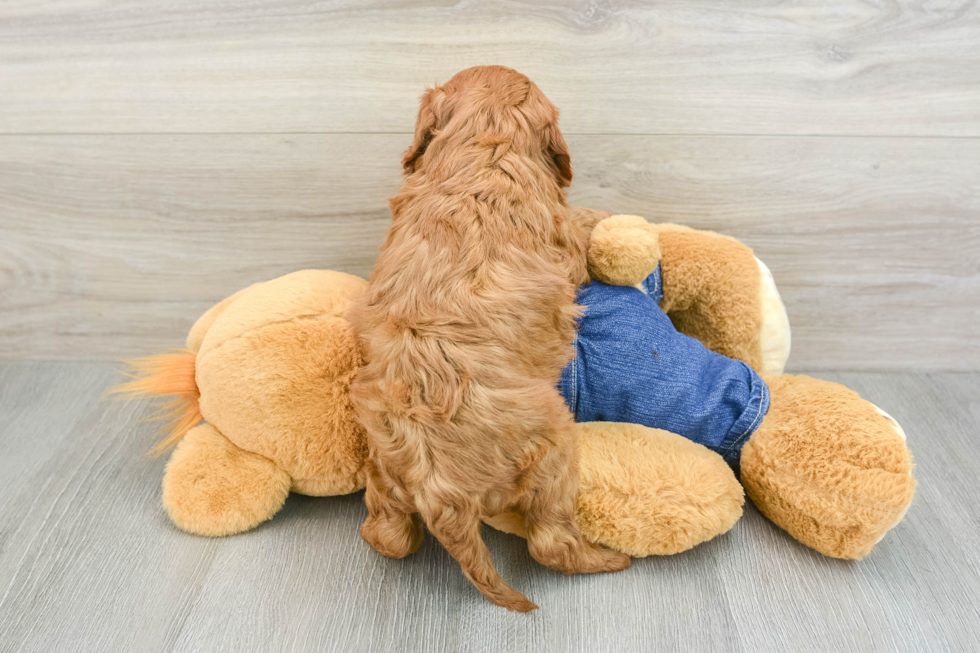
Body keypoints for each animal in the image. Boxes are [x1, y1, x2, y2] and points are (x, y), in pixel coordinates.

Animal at [348, 66, 632, 612]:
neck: (487, 145)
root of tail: (440, 493)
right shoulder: (564, 241)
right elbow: (581, 227)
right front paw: (604, 218)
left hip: (384, 473)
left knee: (389, 536)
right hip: (554, 446)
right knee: (550, 543)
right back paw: (608, 559)